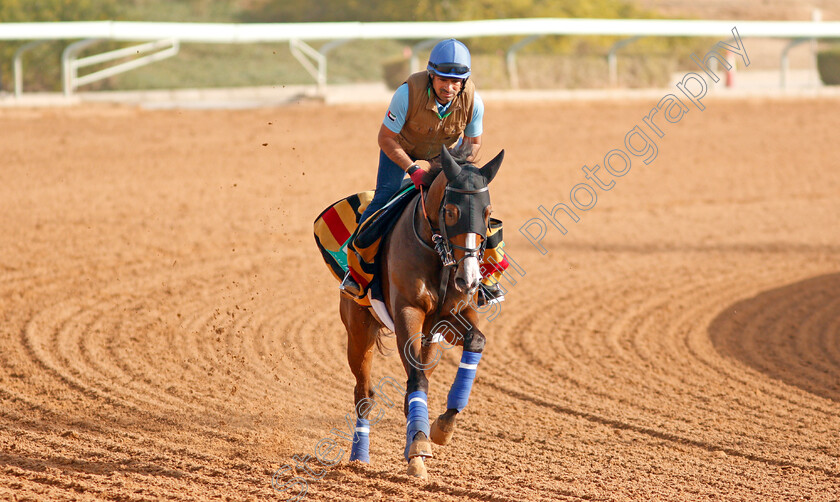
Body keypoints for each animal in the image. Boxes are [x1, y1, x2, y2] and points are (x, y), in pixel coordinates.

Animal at [336, 144, 506, 478]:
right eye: (451, 211)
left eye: (487, 212)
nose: (470, 279)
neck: (439, 256)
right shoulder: (408, 312)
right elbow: (416, 379)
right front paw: (418, 446)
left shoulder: (451, 317)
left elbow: (475, 341)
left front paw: (442, 427)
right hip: (359, 331)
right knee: (364, 395)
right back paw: (360, 456)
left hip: (430, 340)